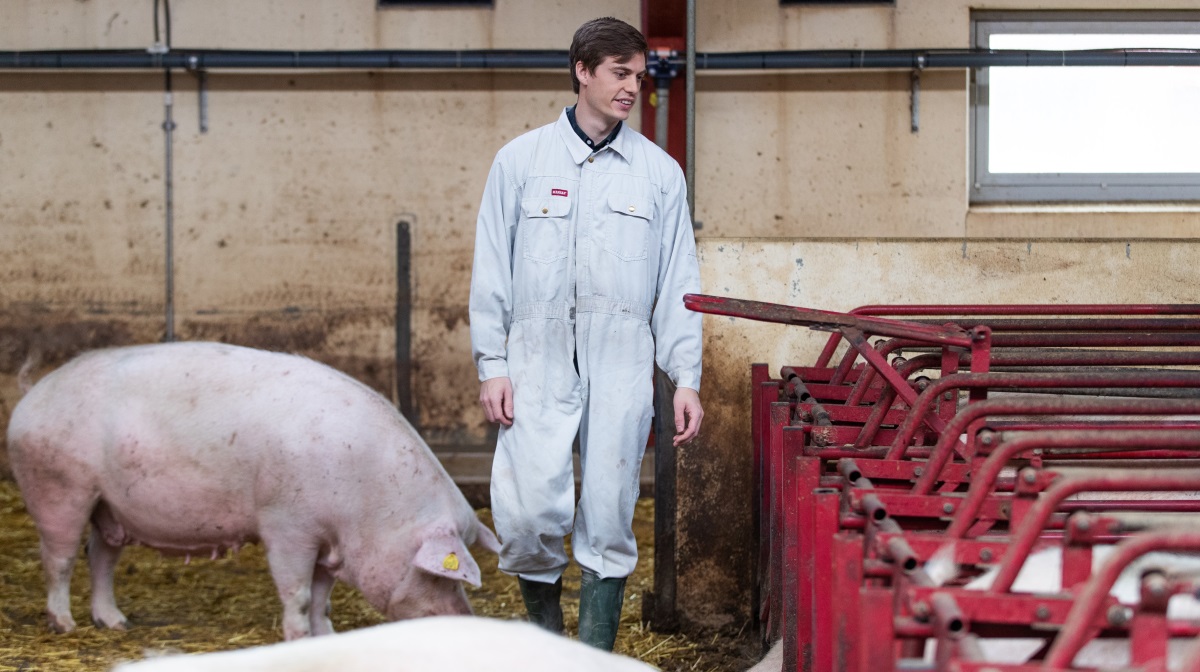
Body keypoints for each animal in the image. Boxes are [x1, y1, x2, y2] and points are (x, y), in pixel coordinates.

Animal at [5, 340, 501, 638]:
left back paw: (116, 623)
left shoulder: (325, 541)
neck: (369, 504)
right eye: (438, 574)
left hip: (109, 504)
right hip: (58, 486)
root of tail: (31, 397)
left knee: (101, 554)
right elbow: (298, 595)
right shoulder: (286, 525)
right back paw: (64, 625)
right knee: (60, 557)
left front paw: (326, 636)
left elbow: (322, 598)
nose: (466, 620)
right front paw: (297, 639)